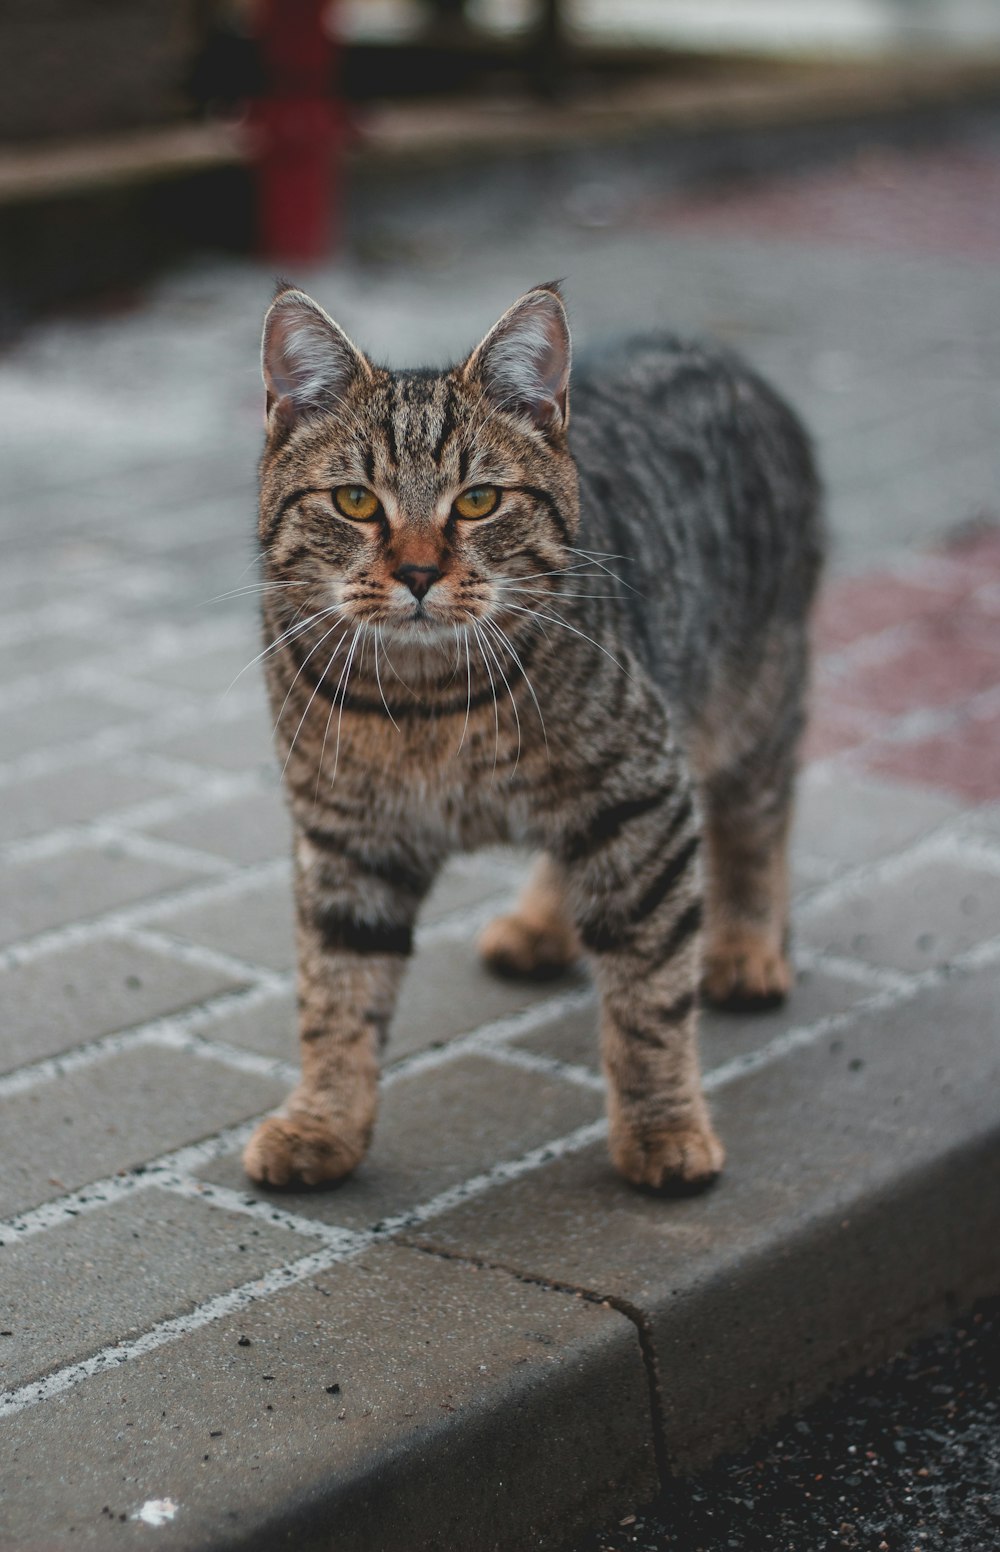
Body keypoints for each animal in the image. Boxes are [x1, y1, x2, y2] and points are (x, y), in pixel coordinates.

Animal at [242, 285, 819, 1191]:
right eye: (356, 502)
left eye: (478, 500)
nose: (417, 573)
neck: (425, 704)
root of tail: (715, 351)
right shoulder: (347, 838)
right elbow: (336, 994)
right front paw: (323, 1123)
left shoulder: (644, 791)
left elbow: (650, 996)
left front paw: (663, 1128)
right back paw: (543, 925)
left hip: (752, 697)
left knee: (759, 818)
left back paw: (746, 945)